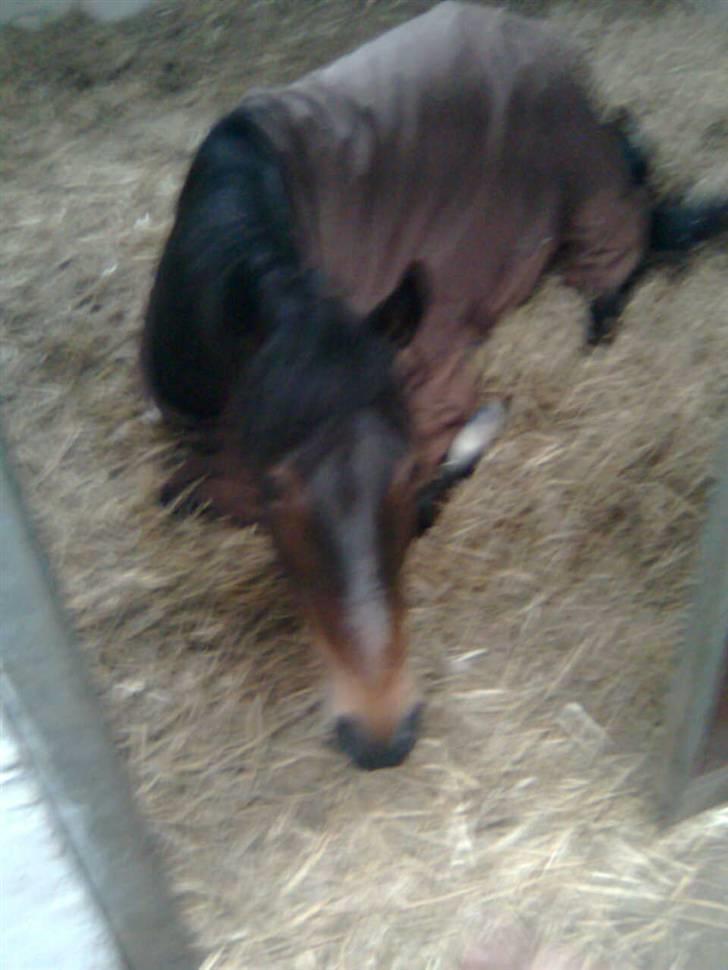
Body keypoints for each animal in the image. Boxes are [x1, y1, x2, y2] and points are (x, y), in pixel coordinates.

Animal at [141, 2, 727, 770]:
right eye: (273, 487)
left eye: (405, 468)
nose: (381, 735)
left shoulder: (433, 380)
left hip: (593, 215)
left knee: (620, 275)